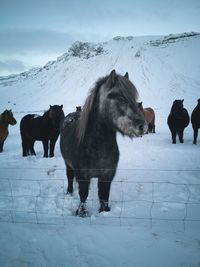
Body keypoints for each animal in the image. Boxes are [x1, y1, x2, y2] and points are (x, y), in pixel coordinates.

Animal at [59, 69, 147, 218]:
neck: (97, 147)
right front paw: (82, 213)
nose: (143, 126)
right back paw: (69, 193)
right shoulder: (83, 177)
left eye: (135, 99)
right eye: (120, 98)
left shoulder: (107, 176)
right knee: (70, 178)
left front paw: (104, 212)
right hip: (68, 164)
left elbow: (104, 196)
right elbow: (83, 195)